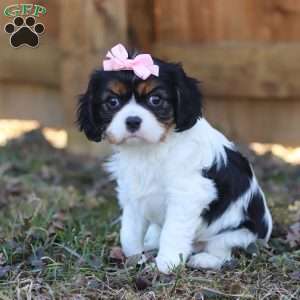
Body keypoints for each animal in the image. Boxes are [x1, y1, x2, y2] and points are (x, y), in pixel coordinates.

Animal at [77, 43, 272, 274]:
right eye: (112, 102)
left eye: (155, 100)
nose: (132, 121)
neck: (150, 149)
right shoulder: (132, 195)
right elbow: (129, 232)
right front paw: (134, 258)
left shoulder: (187, 196)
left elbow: (173, 231)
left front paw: (166, 264)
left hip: (236, 234)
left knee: (223, 252)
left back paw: (204, 260)